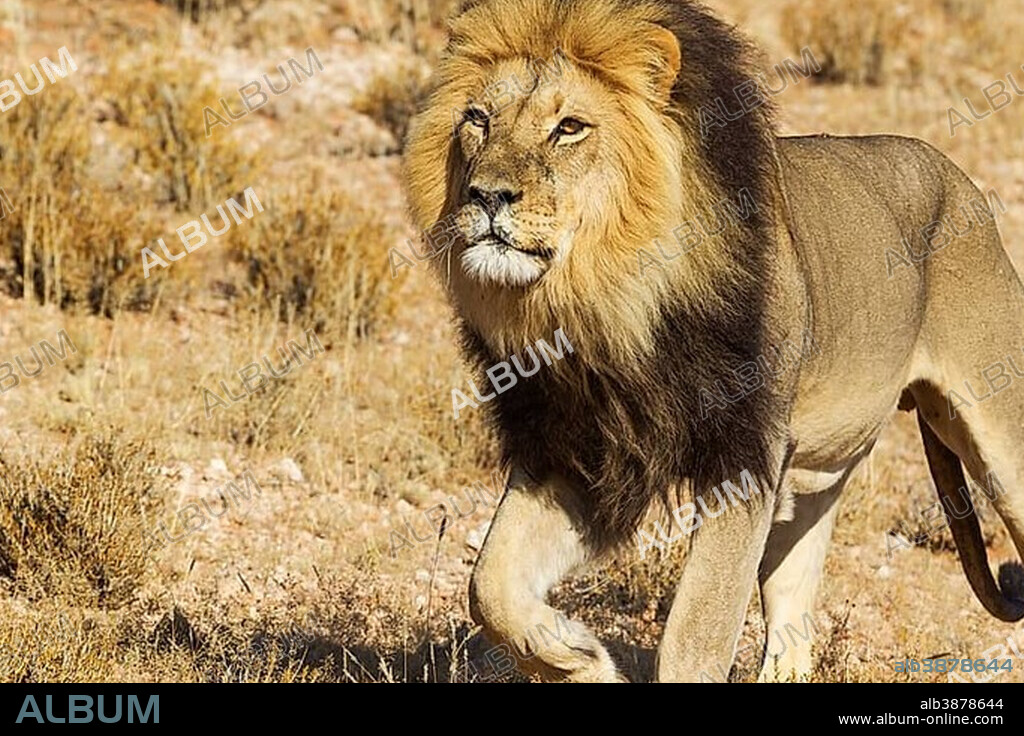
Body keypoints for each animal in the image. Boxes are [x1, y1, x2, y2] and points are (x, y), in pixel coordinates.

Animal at [402, 0, 1024, 682]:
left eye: (569, 128)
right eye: (477, 119)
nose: (486, 194)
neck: (607, 302)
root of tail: (958, 178)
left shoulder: (746, 460)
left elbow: (695, 632)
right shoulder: (577, 454)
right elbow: (489, 583)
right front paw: (580, 657)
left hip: (999, 434)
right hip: (815, 481)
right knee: (792, 626)